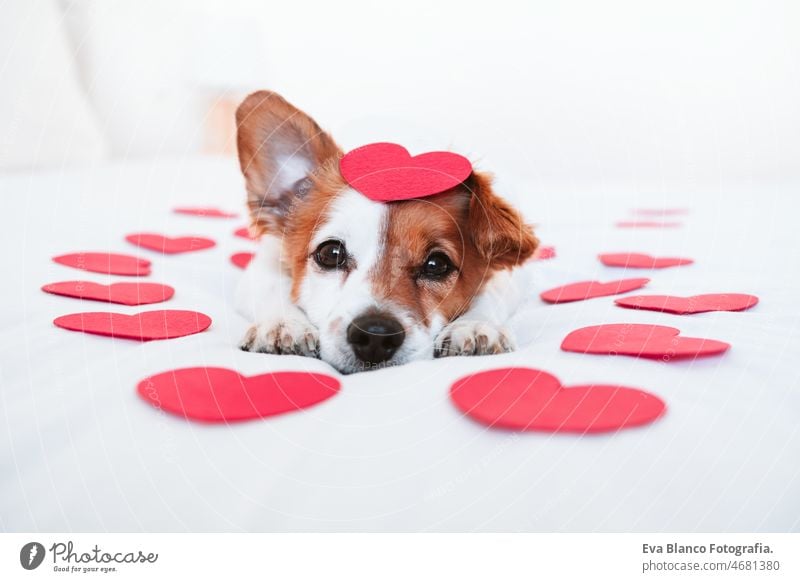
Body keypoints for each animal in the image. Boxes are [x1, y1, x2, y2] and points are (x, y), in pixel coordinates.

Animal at [234, 90, 540, 374]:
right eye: (330, 253)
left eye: (436, 264)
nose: (375, 336)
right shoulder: (265, 260)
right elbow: (272, 287)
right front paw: (284, 323)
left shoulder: (509, 272)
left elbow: (490, 293)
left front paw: (474, 324)